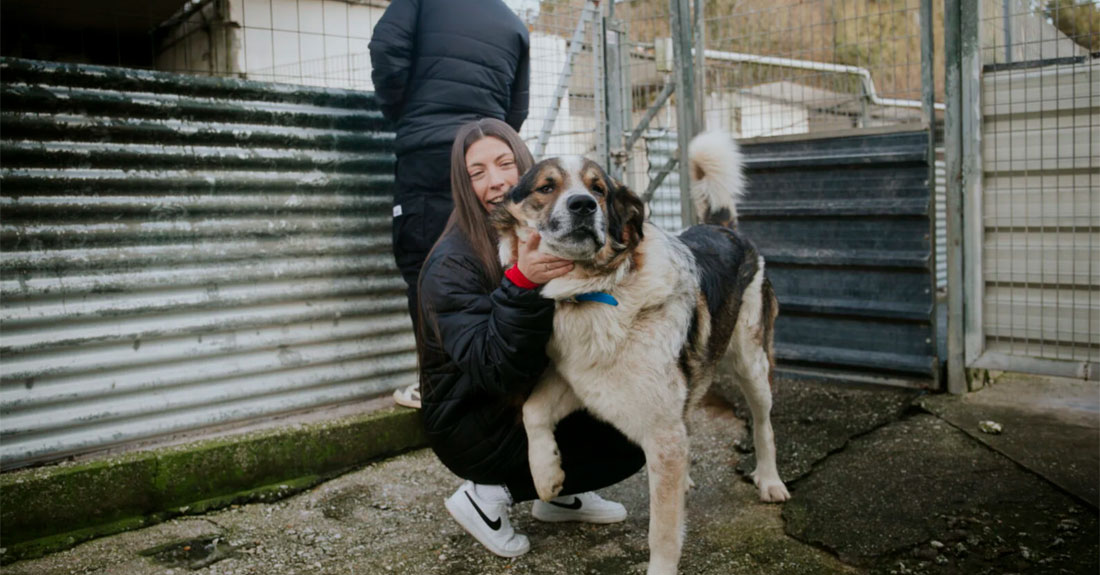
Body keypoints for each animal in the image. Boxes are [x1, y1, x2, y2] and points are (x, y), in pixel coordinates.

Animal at [492, 131, 792, 575]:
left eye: (598, 189)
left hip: (751, 363)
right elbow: (532, 411)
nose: (583, 205)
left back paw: (769, 481)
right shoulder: (579, 380)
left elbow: (663, 533)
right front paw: (547, 476)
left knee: (762, 424)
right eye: (546, 187)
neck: (595, 290)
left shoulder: (661, 429)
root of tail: (720, 227)